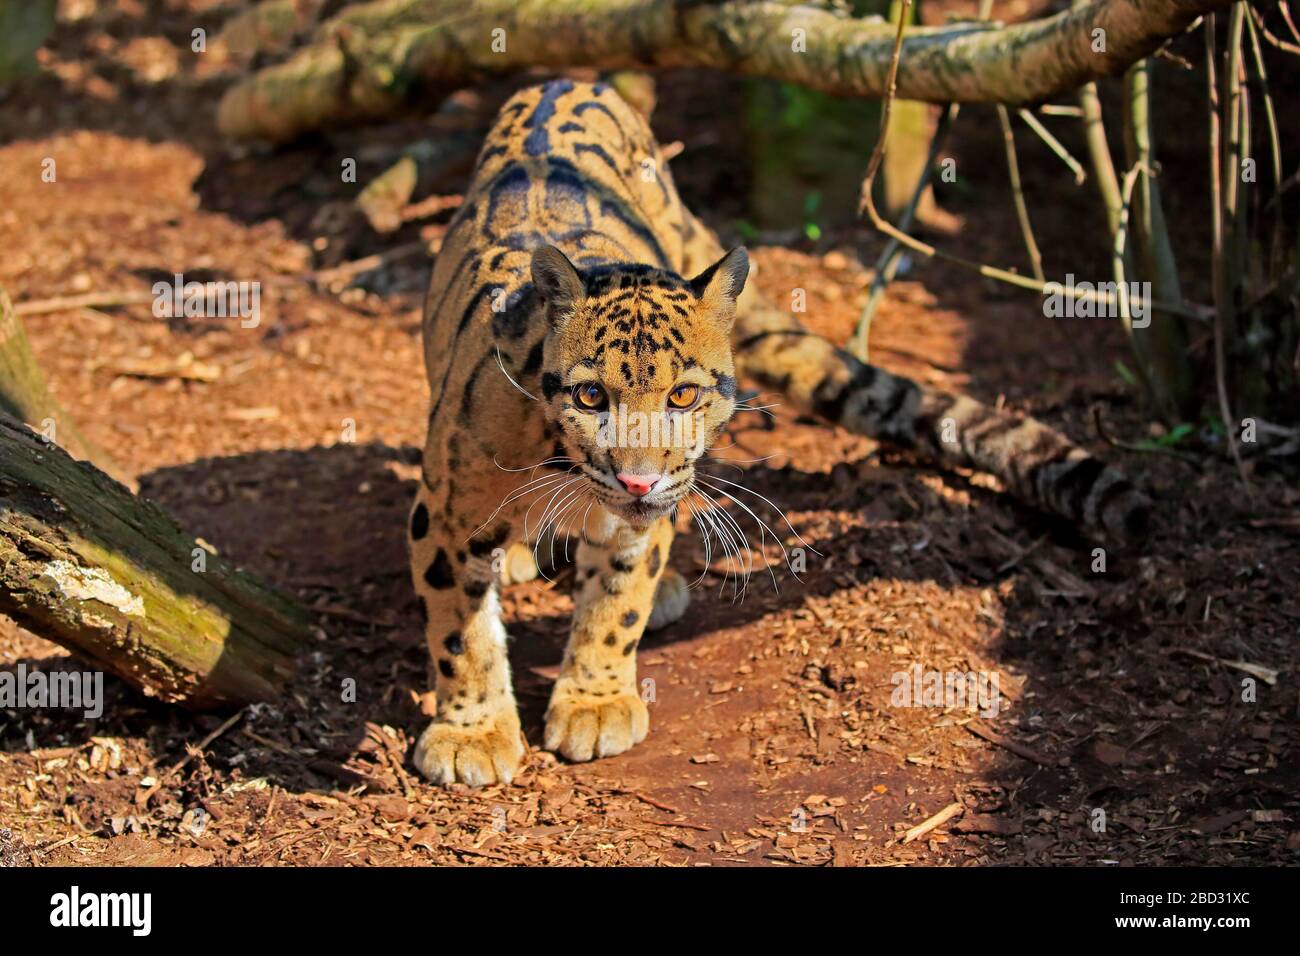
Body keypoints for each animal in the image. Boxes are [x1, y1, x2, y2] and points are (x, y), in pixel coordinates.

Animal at [405, 80, 1149, 785]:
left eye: (683, 394)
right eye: (591, 396)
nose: (639, 480)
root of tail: (572, 80)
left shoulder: (642, 515)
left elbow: (616, 599)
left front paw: (594, 700)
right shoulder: (445, 514)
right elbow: (461, 634)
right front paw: (472, 734)